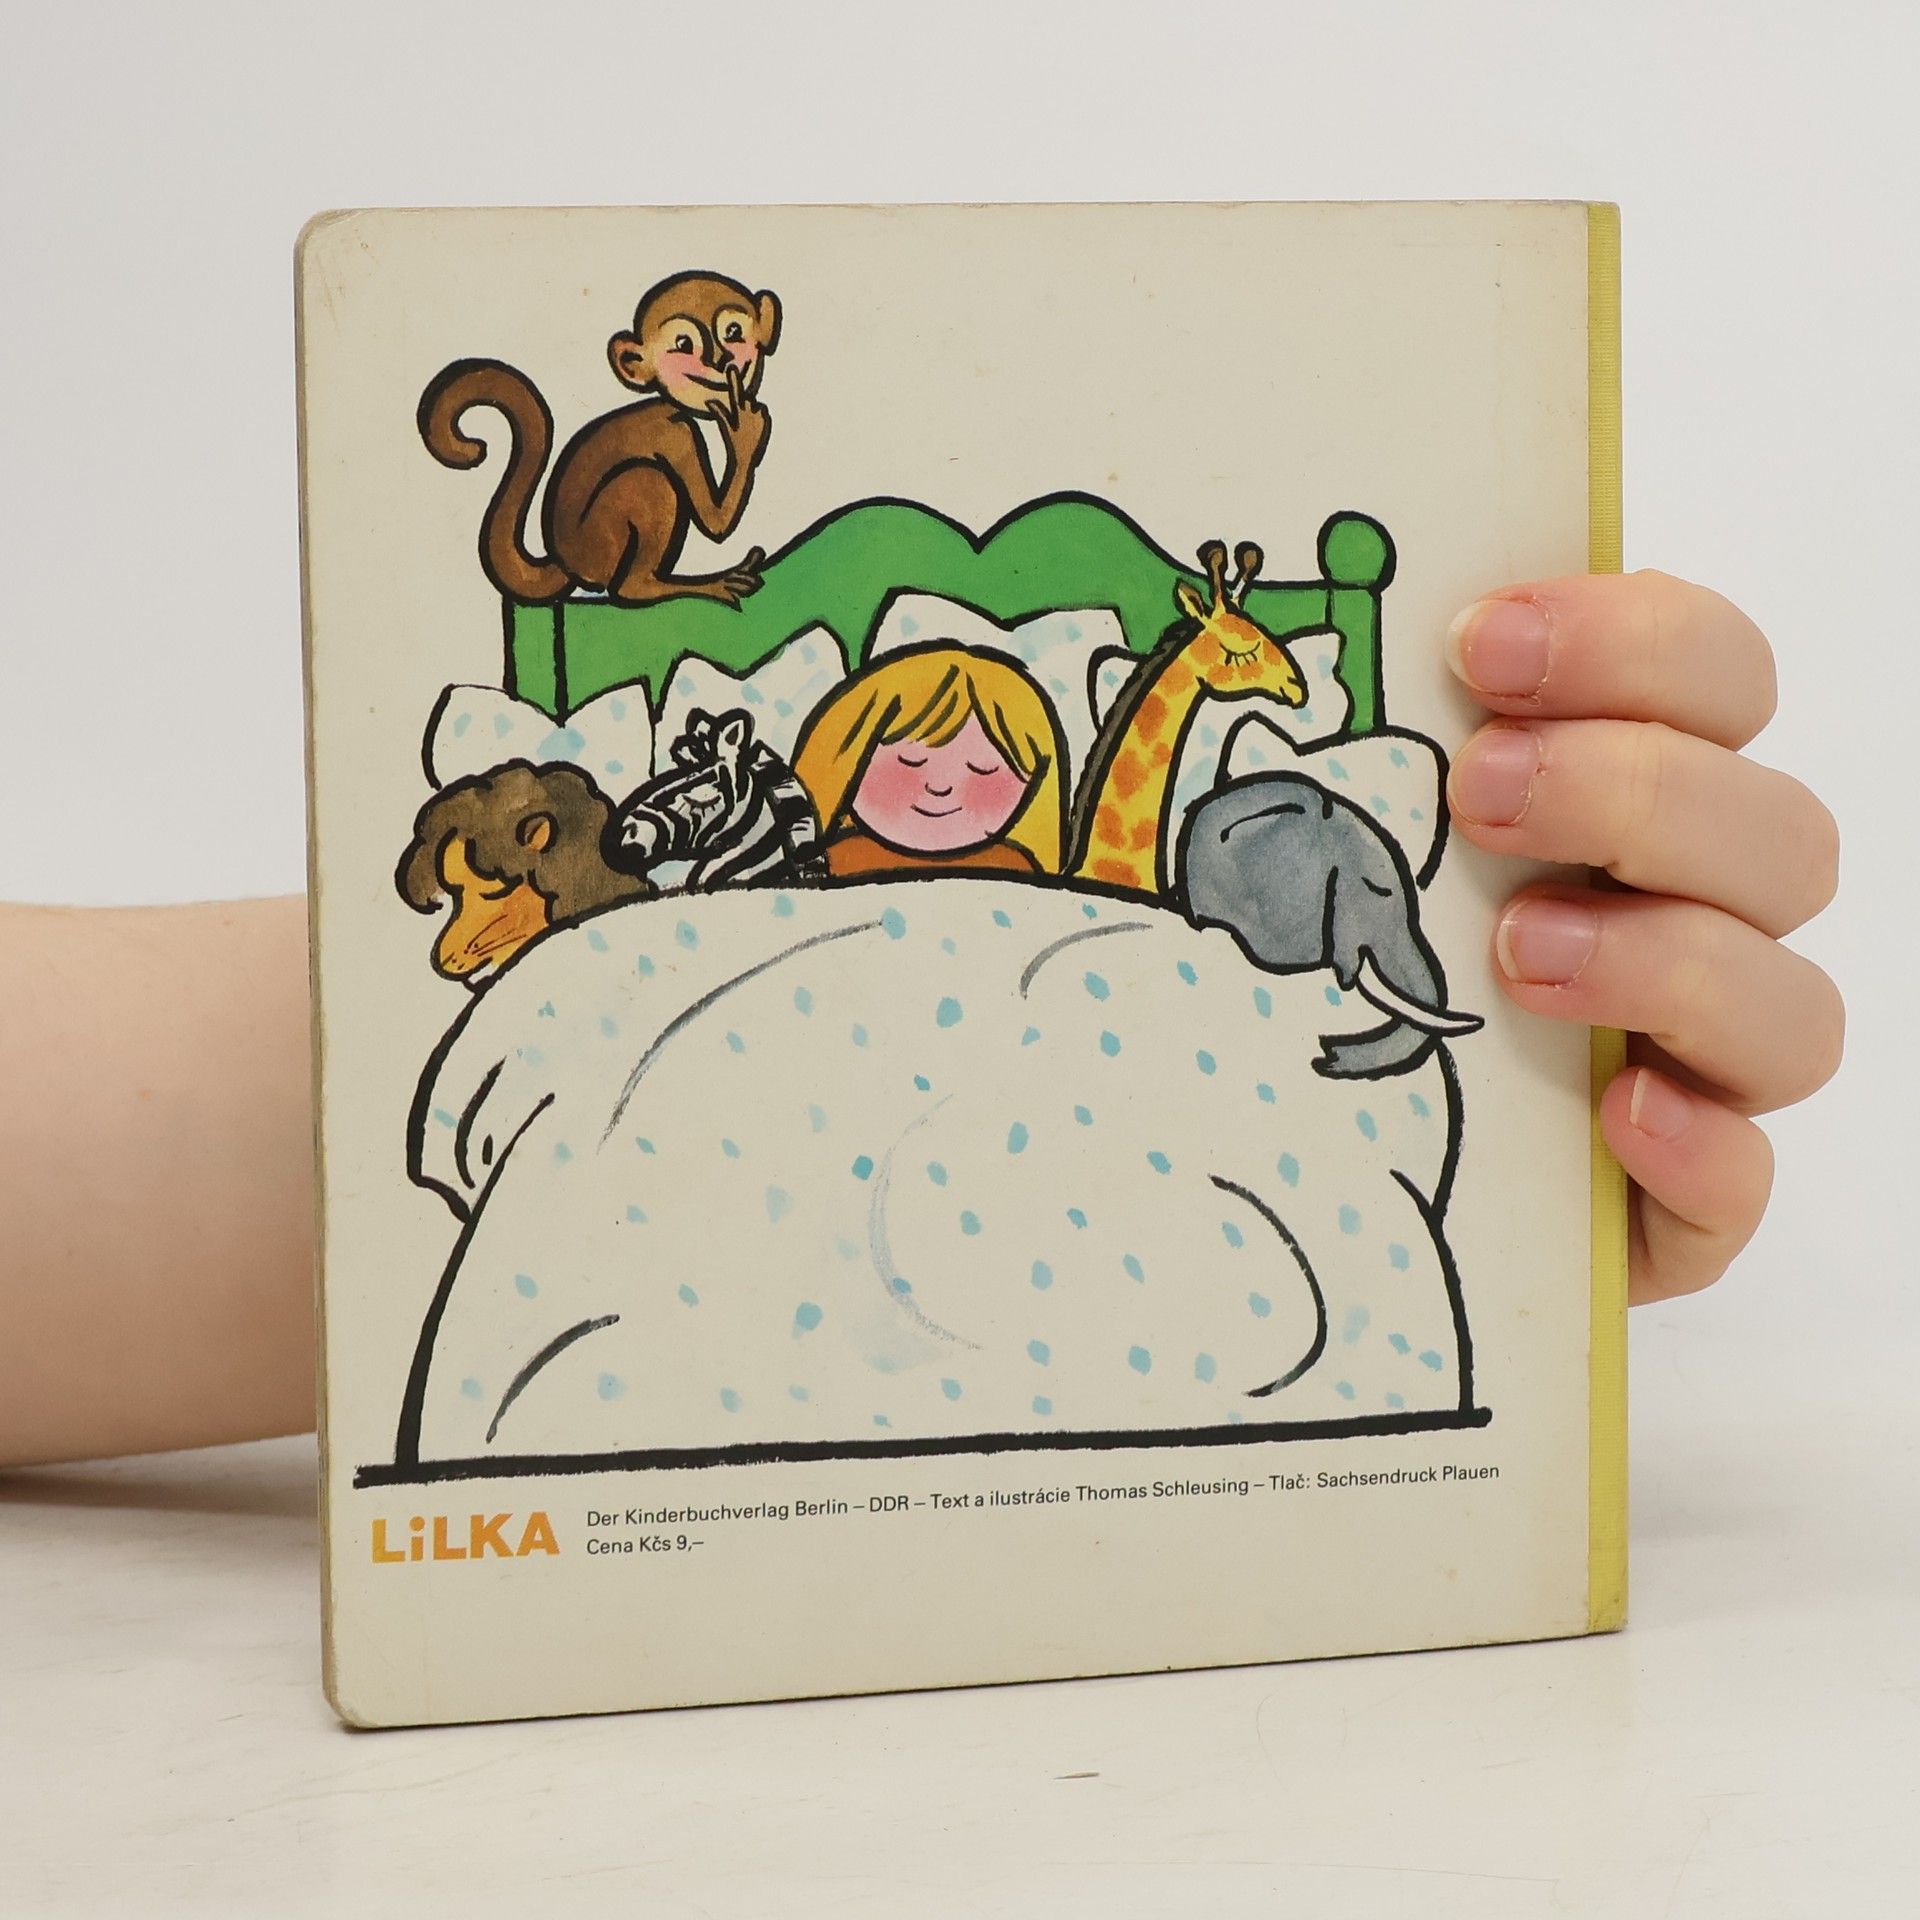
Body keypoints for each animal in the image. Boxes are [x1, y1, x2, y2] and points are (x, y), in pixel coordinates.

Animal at [418, 270, 782, 607]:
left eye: (733, 332)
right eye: (684, 344)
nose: (722, 359)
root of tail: (563, 562)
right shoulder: (678, 435)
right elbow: (715, 522)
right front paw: (744, 431)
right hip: (608, 534)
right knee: (643, 505)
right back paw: (694, 585)